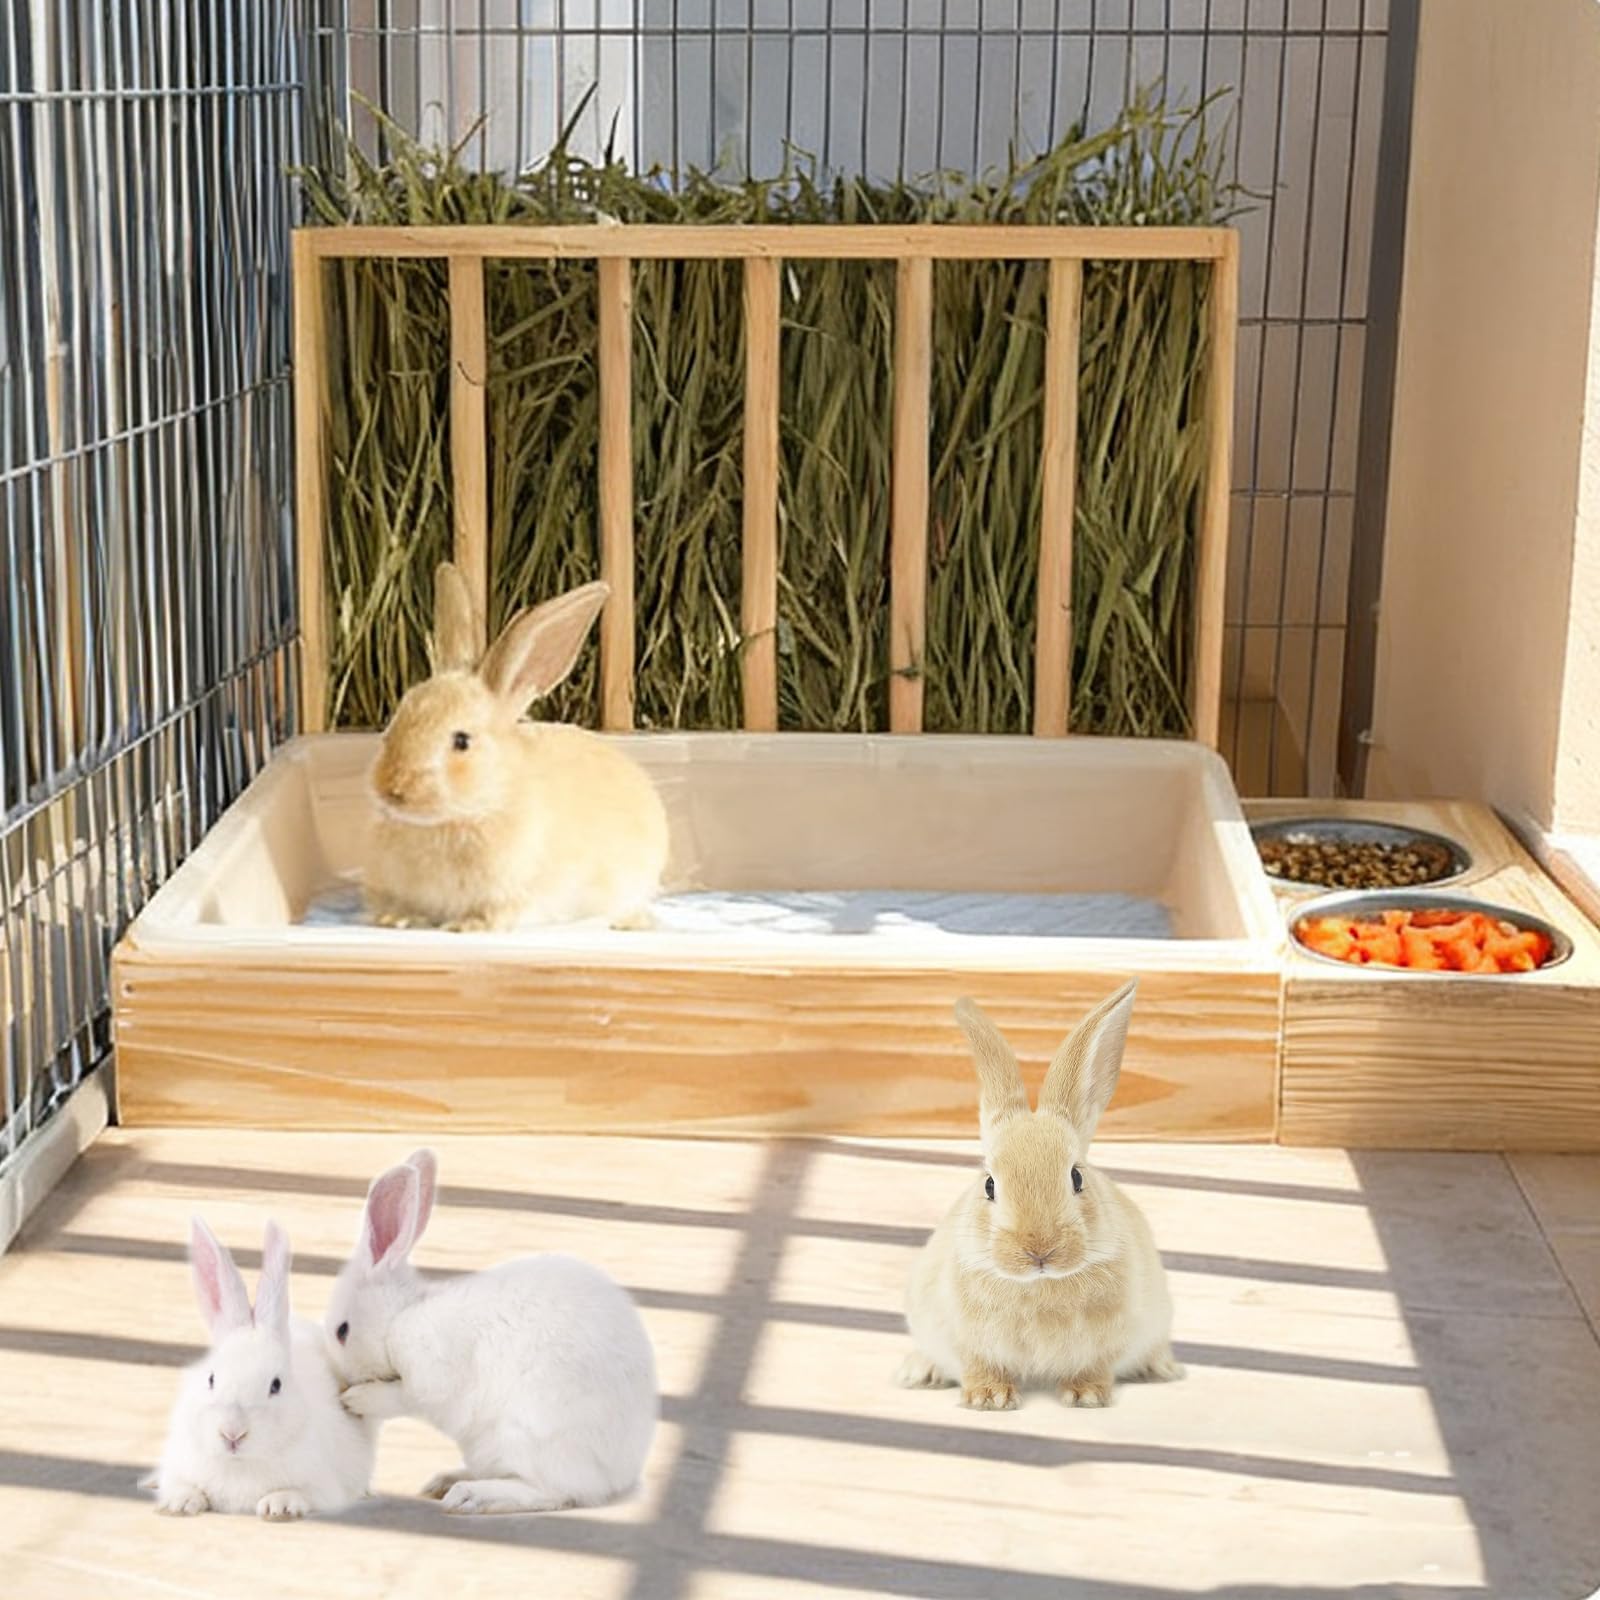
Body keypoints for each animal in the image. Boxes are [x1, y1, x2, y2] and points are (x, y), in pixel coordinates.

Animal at [149, 1217, 377, 1519]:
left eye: (276, 1385)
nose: (232, 1434)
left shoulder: (324, 1488)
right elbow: (182, 1485)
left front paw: (278, 1505)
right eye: (211, 1379)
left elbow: (301, 1494)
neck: (240, 1464)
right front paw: (181, 1502)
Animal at [328, 1149, 659, 1515]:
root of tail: (619, 1476)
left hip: (524, 1439)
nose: (342, 1381)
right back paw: (444, 1481)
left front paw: (356, 1399)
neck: (401, 1316)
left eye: (342, 1331)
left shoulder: (429, 1374)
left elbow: (402, 1396)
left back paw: (469, 1495)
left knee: (553, 1492)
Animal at [363, 561, 670, 932]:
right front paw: (395, 919)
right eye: (394, 722)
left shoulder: (515, 894)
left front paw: (464, 926)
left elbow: (495, 913)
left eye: (462, 741)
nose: (391, 789)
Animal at [896, 980, 1184, 1411]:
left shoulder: (1109, 1343)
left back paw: (1161, 1368)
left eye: (1077, 1177)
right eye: (989, 1185)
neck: (1037, 1285)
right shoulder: (965, 1340)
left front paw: (1085, 1397)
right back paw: (919, 1372)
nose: (1039, 1250)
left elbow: (1095, 1366)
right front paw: (989, 1399)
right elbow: (978, 1365)